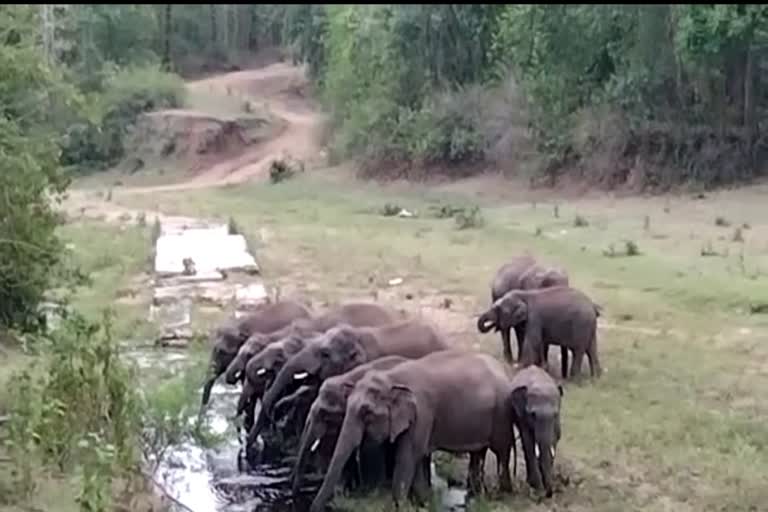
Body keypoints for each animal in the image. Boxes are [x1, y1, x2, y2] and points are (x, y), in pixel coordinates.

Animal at [308, 348, 520, 512]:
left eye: (366, 413)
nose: (315, 508)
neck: (392, 378)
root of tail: (504, 369)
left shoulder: (422, 413)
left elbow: (408, 456)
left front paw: (399, 507)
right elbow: (416, 457)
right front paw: (423, 503)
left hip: (501, 412)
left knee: (501, 451)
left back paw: (503, 495)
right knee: (478, 452)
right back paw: (475, 495)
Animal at [510, 364, 564, 496]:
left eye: (555, 414)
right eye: (533, 415)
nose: (549, 493)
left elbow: (555, 439)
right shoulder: (523, 416)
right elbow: (528, 442)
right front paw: (538, 489)